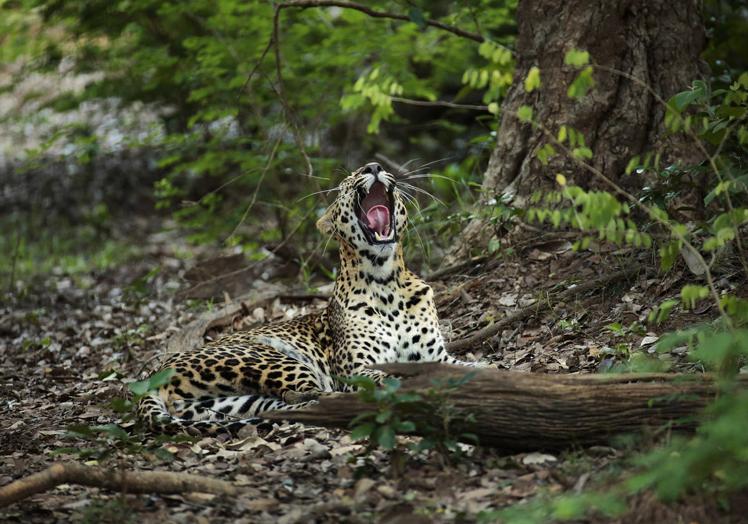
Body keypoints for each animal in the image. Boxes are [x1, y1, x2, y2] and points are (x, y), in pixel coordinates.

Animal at [137, 163, 482, 434]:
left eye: (375, 167)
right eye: (349, 180)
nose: (373, 166)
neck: (386, 282)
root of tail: (153, 375)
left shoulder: (437, 356)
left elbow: (473, 366)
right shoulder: (355, 369)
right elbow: (379, 375)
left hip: (232, 400)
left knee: (289, 403)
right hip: (273, 358)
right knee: (315, 396)